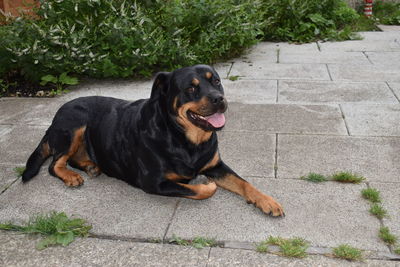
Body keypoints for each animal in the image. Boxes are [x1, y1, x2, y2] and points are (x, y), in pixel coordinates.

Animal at [21, 65, 284, 218]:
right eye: (191, 88)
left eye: (216, 81)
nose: (219, 99)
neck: (186, 140)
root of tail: (53, 118)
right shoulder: (154, 182)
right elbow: (197, 189)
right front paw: (207, 186)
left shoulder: (215, 165)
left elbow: (244, 182)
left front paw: (267, 201)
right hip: (75, 123)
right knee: (55, 163)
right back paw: (71, 176)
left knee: (71, 158)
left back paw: (90, 166)